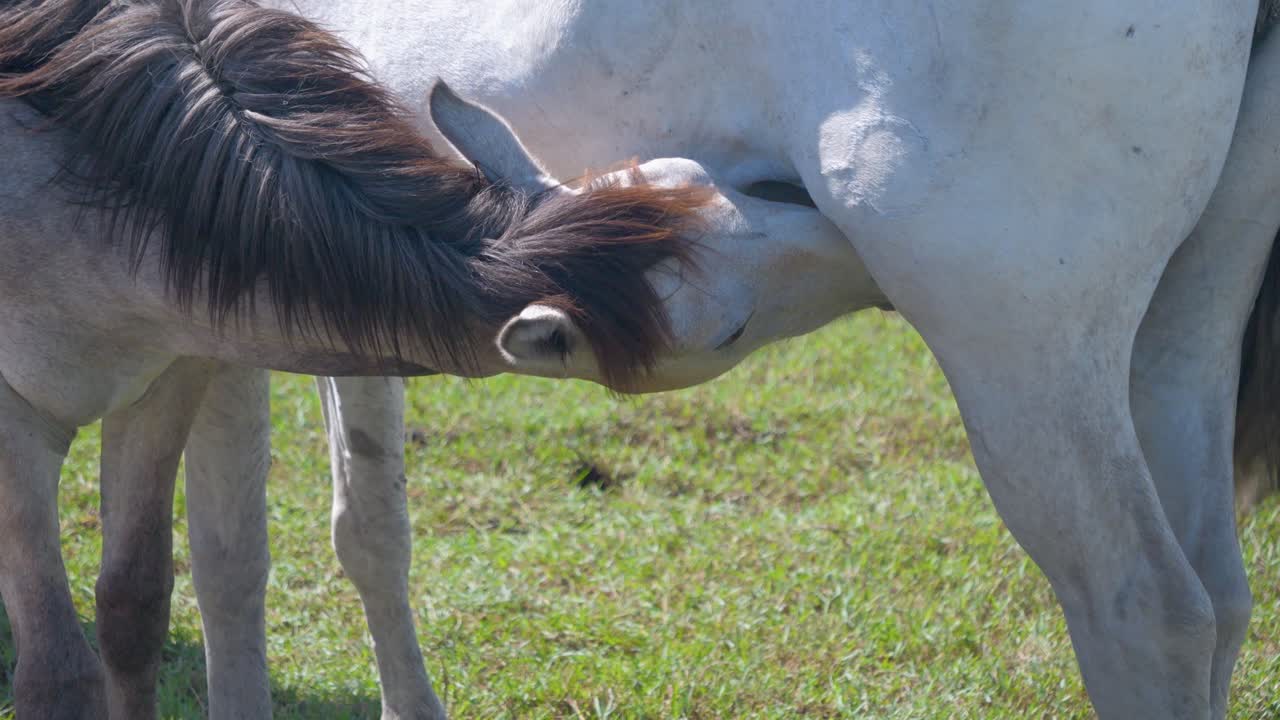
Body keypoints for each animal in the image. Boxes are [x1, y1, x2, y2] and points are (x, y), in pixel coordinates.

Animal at [0, 1, 880, 717]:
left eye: (695, 175)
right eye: (729, 331)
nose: (857, 252)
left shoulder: (163, 385)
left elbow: (134, 607)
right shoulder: (26, 423)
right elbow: (60, 670)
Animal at [154, 1, 1280, 719]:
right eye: (691, 180)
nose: (839, 247)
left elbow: (237, 556)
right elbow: (366, 531)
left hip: (1022, 359)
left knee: (1148, 613)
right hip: (1177, 337)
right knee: (1219, 598)